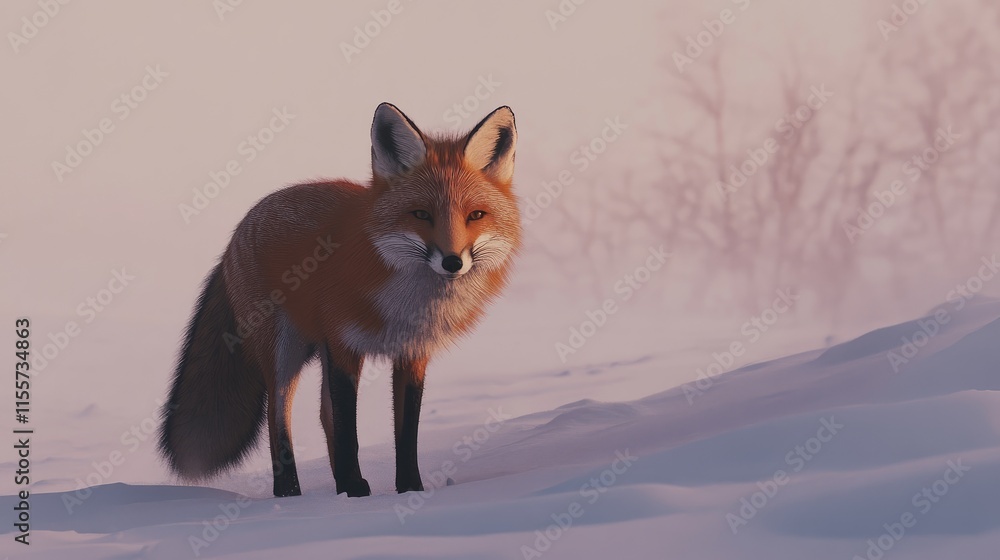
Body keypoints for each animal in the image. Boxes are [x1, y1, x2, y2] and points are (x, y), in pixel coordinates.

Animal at [158, 103, 520, 497]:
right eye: (422, 214)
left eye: (476, 215)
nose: (453, 262)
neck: (407, 304)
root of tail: (236, 233)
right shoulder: (344, 345)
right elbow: (349, 429)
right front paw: (353, 495)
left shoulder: (412, 352)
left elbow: (406, 433)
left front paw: (409, 489)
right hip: (283, 349)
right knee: (278, 417)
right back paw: (290, 492)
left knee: (322, 413)